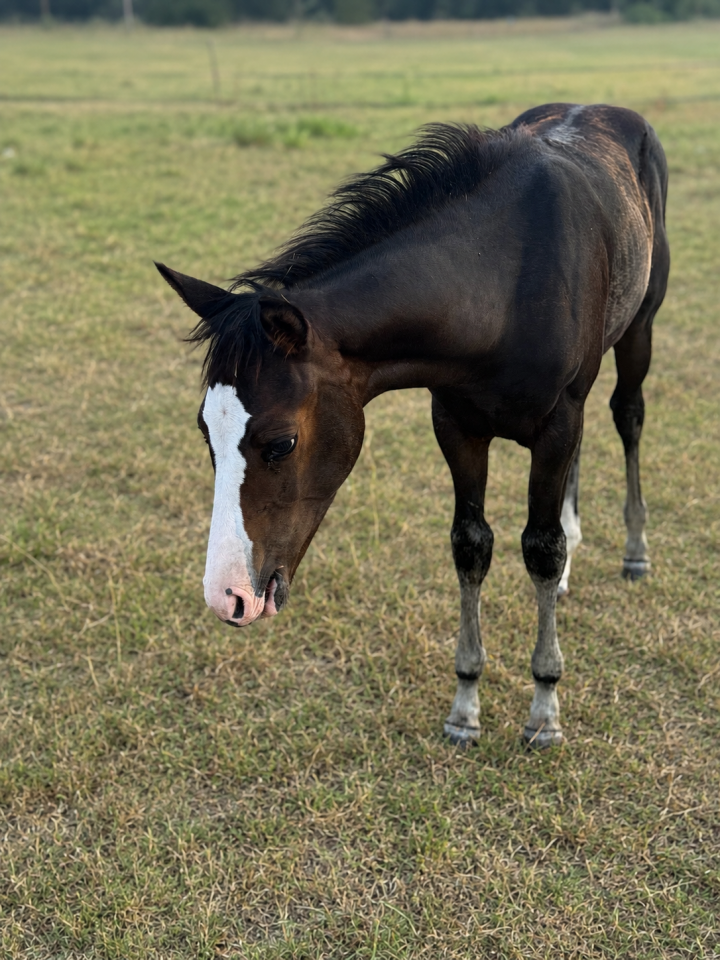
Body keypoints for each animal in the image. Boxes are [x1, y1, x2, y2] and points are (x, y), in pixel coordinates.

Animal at [157, 102, 669, 748]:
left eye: (282, 442)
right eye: (207, 434)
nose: (228, 597)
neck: (501, 279)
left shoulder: (556, 423)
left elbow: (540, 547)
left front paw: (545, 710)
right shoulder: (455, 425)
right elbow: (471, 544)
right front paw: (465, 706)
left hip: (638, 329)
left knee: (628, 417)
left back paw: (635, 551)